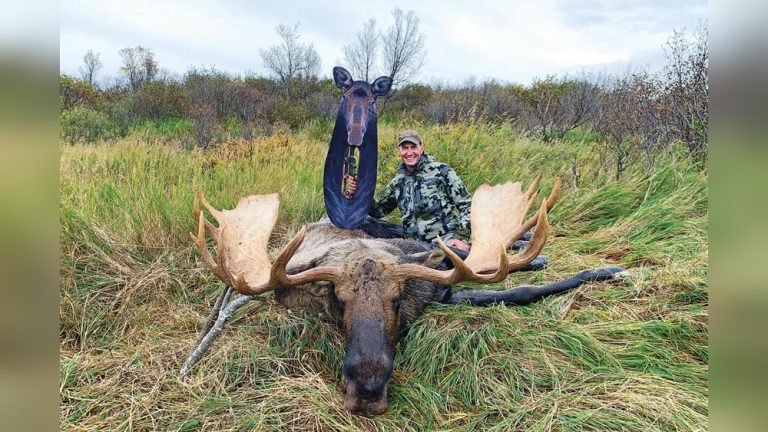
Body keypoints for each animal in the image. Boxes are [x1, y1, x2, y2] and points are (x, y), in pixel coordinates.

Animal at [181, 175, 627, 416]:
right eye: (338, 301)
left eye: (397, 299)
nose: (367, 389)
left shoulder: (437, 286)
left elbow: (520, 289)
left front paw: (605, 270)